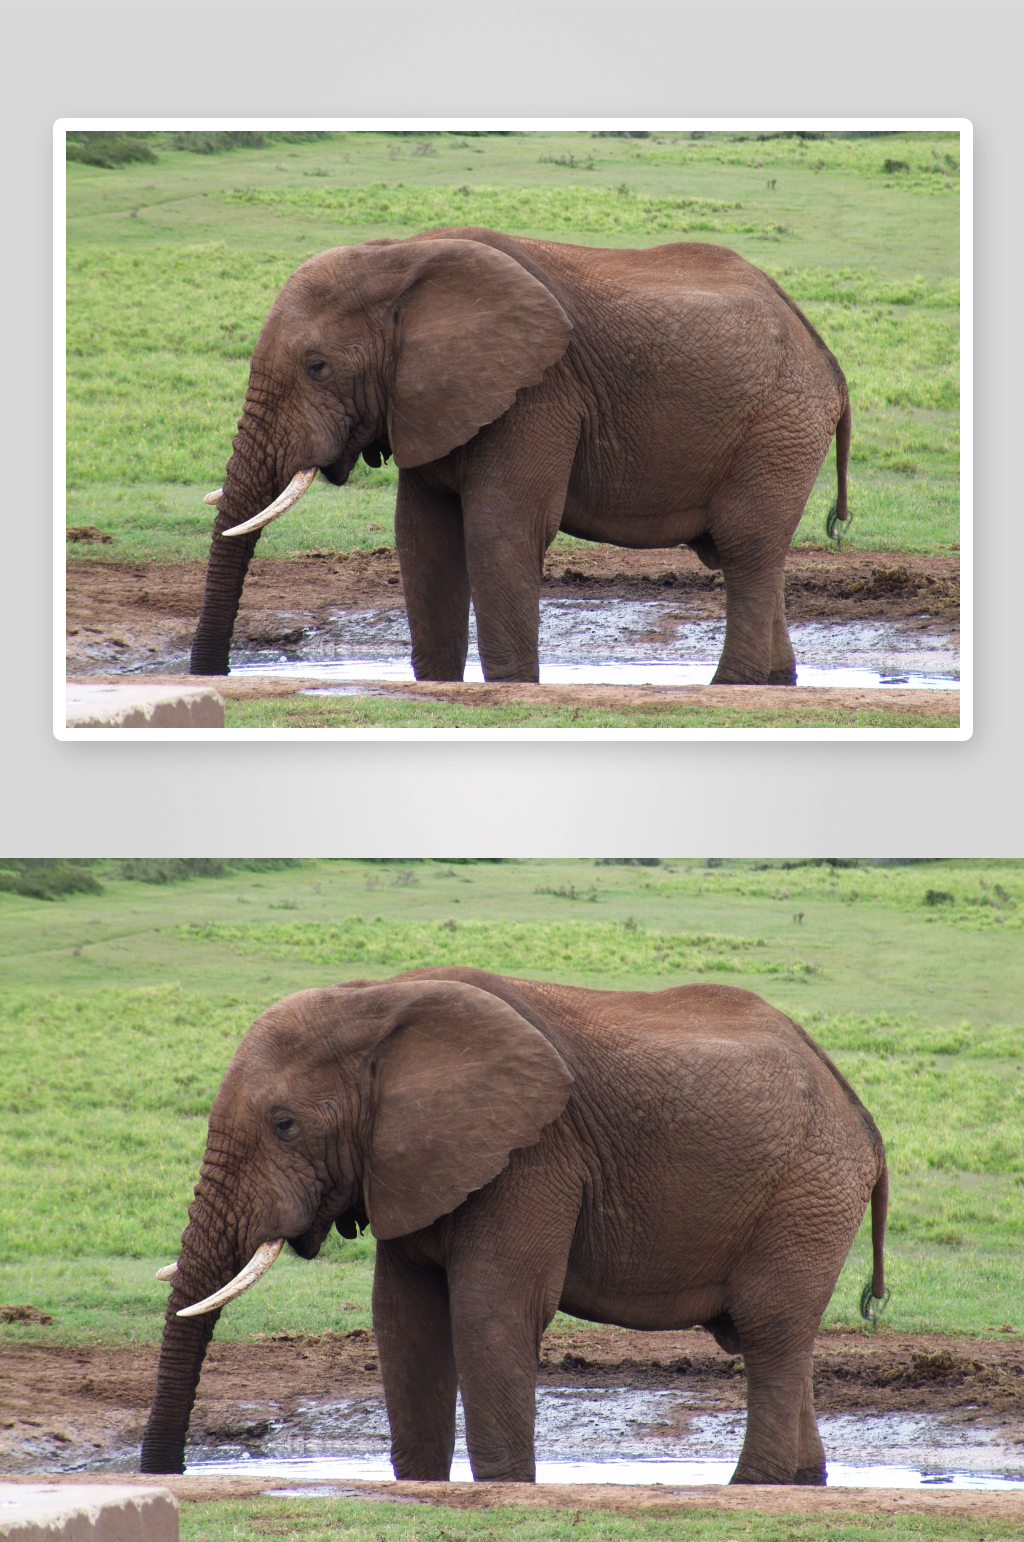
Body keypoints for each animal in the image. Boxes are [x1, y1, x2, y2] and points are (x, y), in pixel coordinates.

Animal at [140, 968, 887, 1485]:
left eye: (284, 1124)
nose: (168, 1472)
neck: (379, 1000)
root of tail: (859, 1111)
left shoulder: (531, 1156)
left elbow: (490, 1311)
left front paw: (503, 1486)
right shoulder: (413, 1163)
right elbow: (403, 1318)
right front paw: (422, 1484)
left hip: (807, 1191)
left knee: (769, 1332)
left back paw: (751, 1486)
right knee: (780, 1339)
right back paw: (805, 1481)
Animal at [189, 228, 851, 684]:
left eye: (317, 367)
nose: (214, 673)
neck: (400, 256)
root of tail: (825, 354)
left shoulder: (535, 394)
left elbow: (499, 531)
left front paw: (511, 686)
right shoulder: (431, 401)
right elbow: (423, 537)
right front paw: (438, 685)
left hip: (779, 426)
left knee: (746, 550)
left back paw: (729, 687)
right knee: (759, 556)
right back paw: (777, 681)